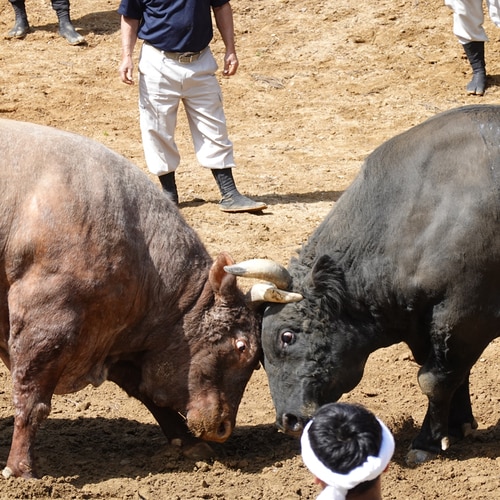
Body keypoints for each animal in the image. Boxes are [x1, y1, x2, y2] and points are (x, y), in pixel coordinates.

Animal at [0, 119, 262, 479]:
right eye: (241, 347)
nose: (223, 428)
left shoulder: (121, 340)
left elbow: (144, 390)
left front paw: (188, 443)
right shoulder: (44, 324)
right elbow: (32, 401)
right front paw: (20, 469)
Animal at [225, 105, 500, 464]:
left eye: (286, 336)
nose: (288, 420)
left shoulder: (465, 314)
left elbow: (434, 380)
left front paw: (426, 442)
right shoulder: (432, 327)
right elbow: (454, 375)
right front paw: (456, 427)